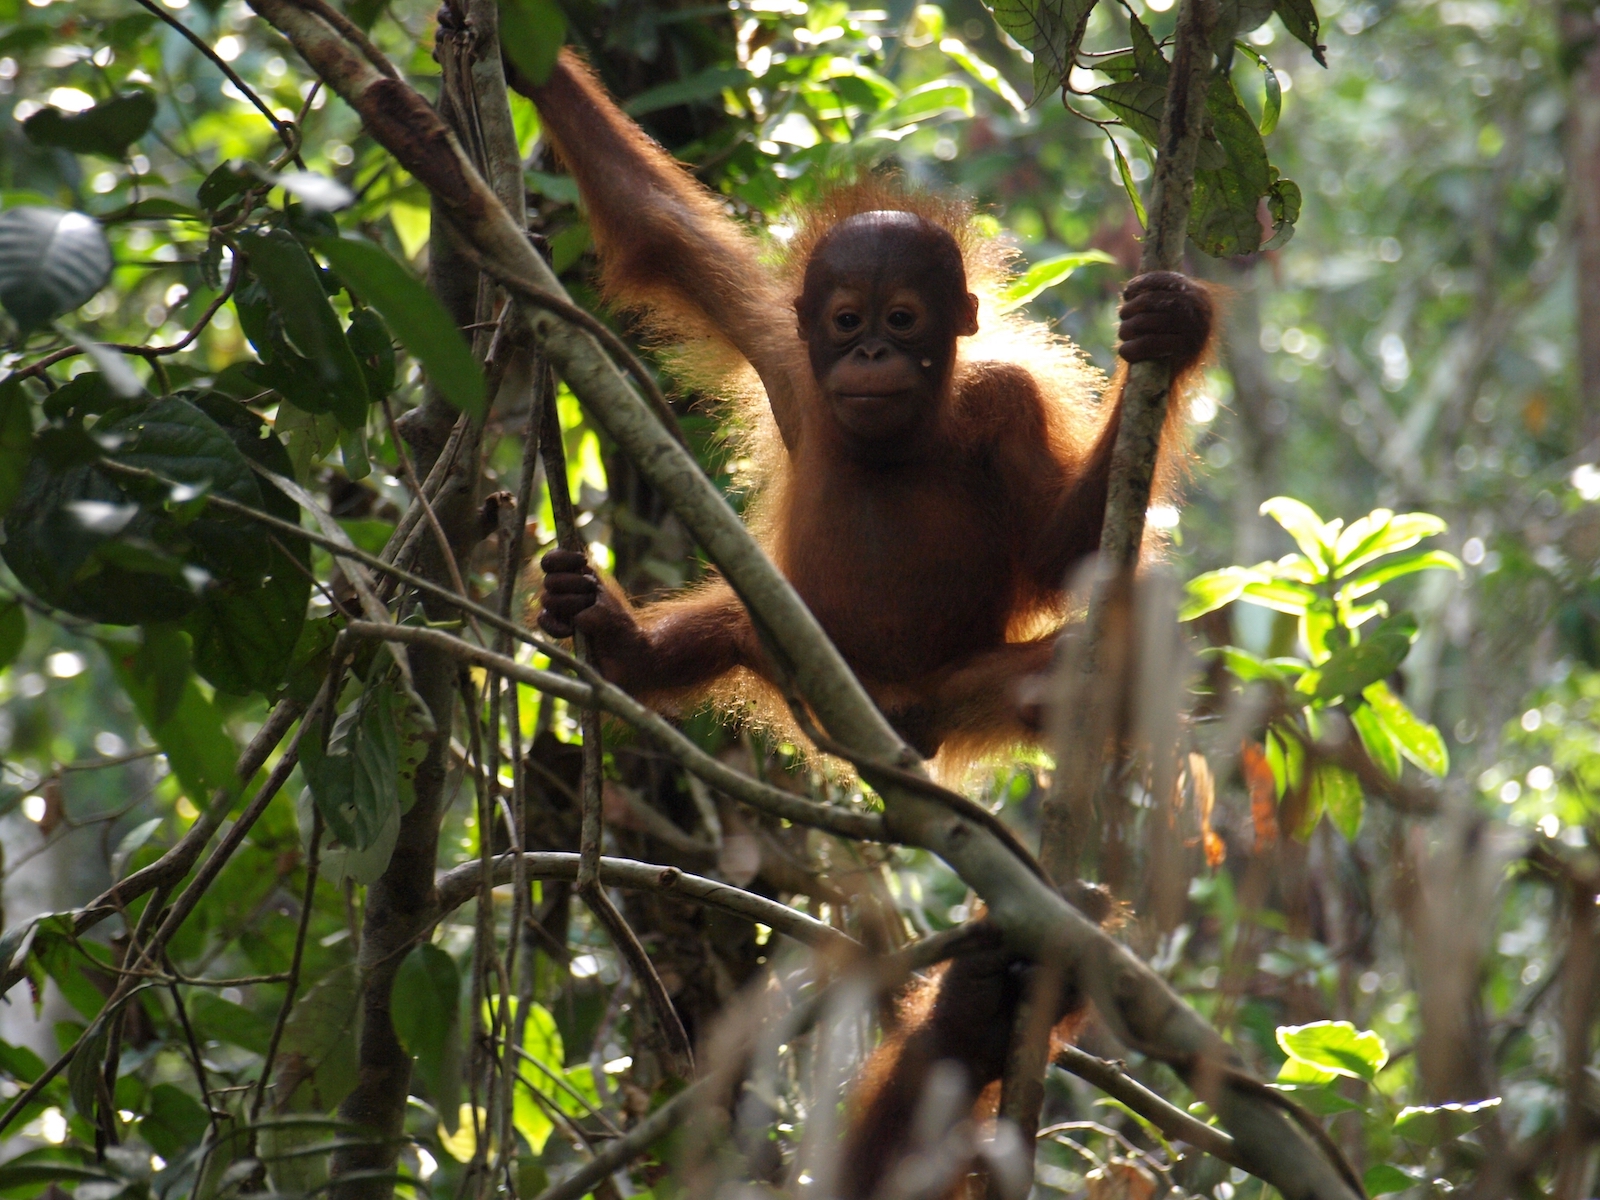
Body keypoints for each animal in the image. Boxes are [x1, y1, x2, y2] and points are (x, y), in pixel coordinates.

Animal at [506, 50, 1211, 764]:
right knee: (736, 622)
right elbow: (658, 225)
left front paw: (1173, 328)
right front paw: (534, 70)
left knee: (1066, 668)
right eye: (846, 321)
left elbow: (1057, 553)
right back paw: (623, 647)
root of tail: (902, 721)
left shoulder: (1010, 398)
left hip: (950, 691)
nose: (872, 353)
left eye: (902, 318)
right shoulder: (781, 350)